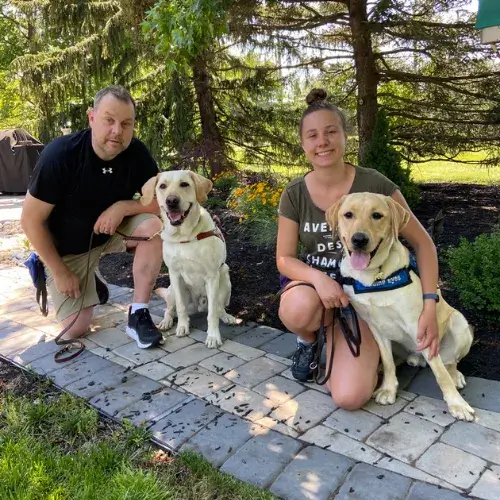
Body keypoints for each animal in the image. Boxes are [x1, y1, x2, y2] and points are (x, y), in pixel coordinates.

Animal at [139, 171, 236, 348]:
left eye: (184, 184)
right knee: (170, 309)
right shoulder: (175, 274)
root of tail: (198, 306)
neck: (184, 236)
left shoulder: (212, 276)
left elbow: (212, 313)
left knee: (219, 308)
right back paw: (166, 322)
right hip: (171, 290)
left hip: (225, 280)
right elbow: (180, 307)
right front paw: (183, 327)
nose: (171, 201)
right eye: (162, 186)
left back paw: (226, 316)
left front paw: (213, 336)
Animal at [326, 193, 474, 420]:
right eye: (348, 215)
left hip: (459, 324)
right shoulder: (375, 326)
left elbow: (440, 373)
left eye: (377, 215)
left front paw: (457, 404)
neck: (373, 277)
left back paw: (455, 375)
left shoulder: (419, 326)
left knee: (450, 361)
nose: (359, 240)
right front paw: (388, 388)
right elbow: (387, 360)